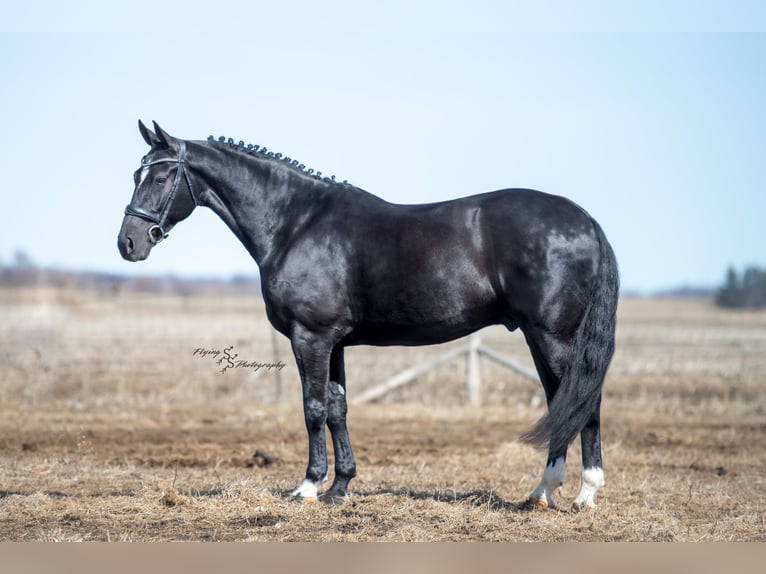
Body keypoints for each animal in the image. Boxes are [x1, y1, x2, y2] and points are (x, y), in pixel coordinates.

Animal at [118, 121, 619, 510]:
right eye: (137, 173)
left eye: (160, 177)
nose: (128, 243)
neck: (296, 223)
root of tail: (585, 220)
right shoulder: (335, 341)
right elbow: (338, 409)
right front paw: (340, 487)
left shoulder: (310, 337)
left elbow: (313, 409)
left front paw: (307, 488)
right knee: (567, 402)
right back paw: (553, 492)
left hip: (552, 335)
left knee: (581, 401)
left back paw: (573, 493)